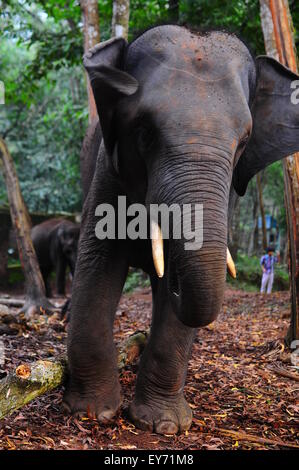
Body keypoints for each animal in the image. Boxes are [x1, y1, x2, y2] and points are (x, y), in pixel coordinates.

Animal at [62, 25, 299, 434]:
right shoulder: (107, 172)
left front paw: (164, 425)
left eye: (243, 143)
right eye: (144, 132)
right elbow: (97, 264)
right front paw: (93, 412)